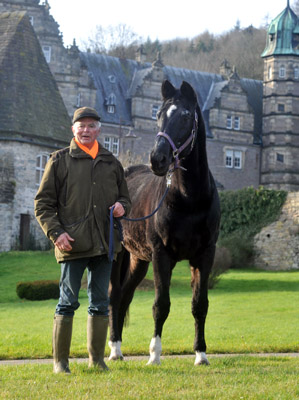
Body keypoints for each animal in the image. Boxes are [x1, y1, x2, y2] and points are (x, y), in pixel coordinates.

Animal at [109, 79, 221, 366]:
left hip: (138, 260)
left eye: (185, 115)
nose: (157, 159)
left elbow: (200, 304)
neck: (189, 199)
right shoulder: (162, 255)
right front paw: (154, 355)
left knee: (125, 296)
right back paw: (114, 350)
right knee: (114, 297)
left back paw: (119, 349)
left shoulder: (205, 255)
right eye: (158, 114)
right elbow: (161, 305)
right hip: (118, 256)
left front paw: (201, 354)